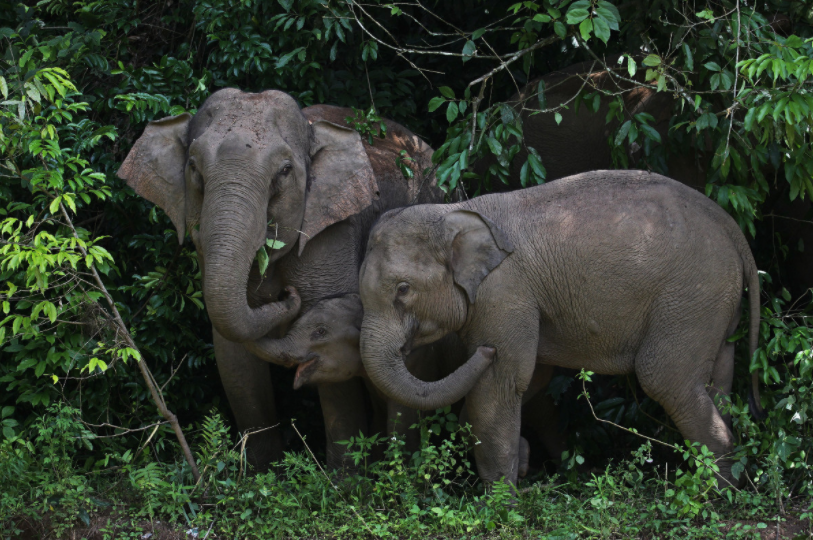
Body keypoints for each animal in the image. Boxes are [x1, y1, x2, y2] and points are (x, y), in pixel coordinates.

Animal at [117, 90, 440, 470]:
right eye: (193, 168)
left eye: (285, 171)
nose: (287, 296)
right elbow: (233, 354)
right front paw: (258, 473)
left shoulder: (333, 231)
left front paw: (342, 479)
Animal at [356, 171, 760, 488]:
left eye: (403, 289)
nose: (485, 351)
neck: (457, 213)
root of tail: (731, 226)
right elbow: (532, 377)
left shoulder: (505, 295)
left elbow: (501, 384)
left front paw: (502, 503)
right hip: (714, 303)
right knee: (719, 375)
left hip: (693, 294)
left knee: (664, 376)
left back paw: (715, 494)